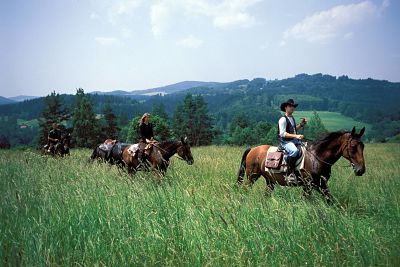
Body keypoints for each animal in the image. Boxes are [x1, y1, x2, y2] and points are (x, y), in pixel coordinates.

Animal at [238, 127, 366, 203]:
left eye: (363, 146)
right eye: (353, 146)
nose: (361, 170)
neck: (317, 157)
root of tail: (253, 149)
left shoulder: (321, 185)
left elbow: (330, 199)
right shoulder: (307, 185)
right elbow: (307, 200)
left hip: (270, 181)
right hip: (252, 176)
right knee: (245, 189)